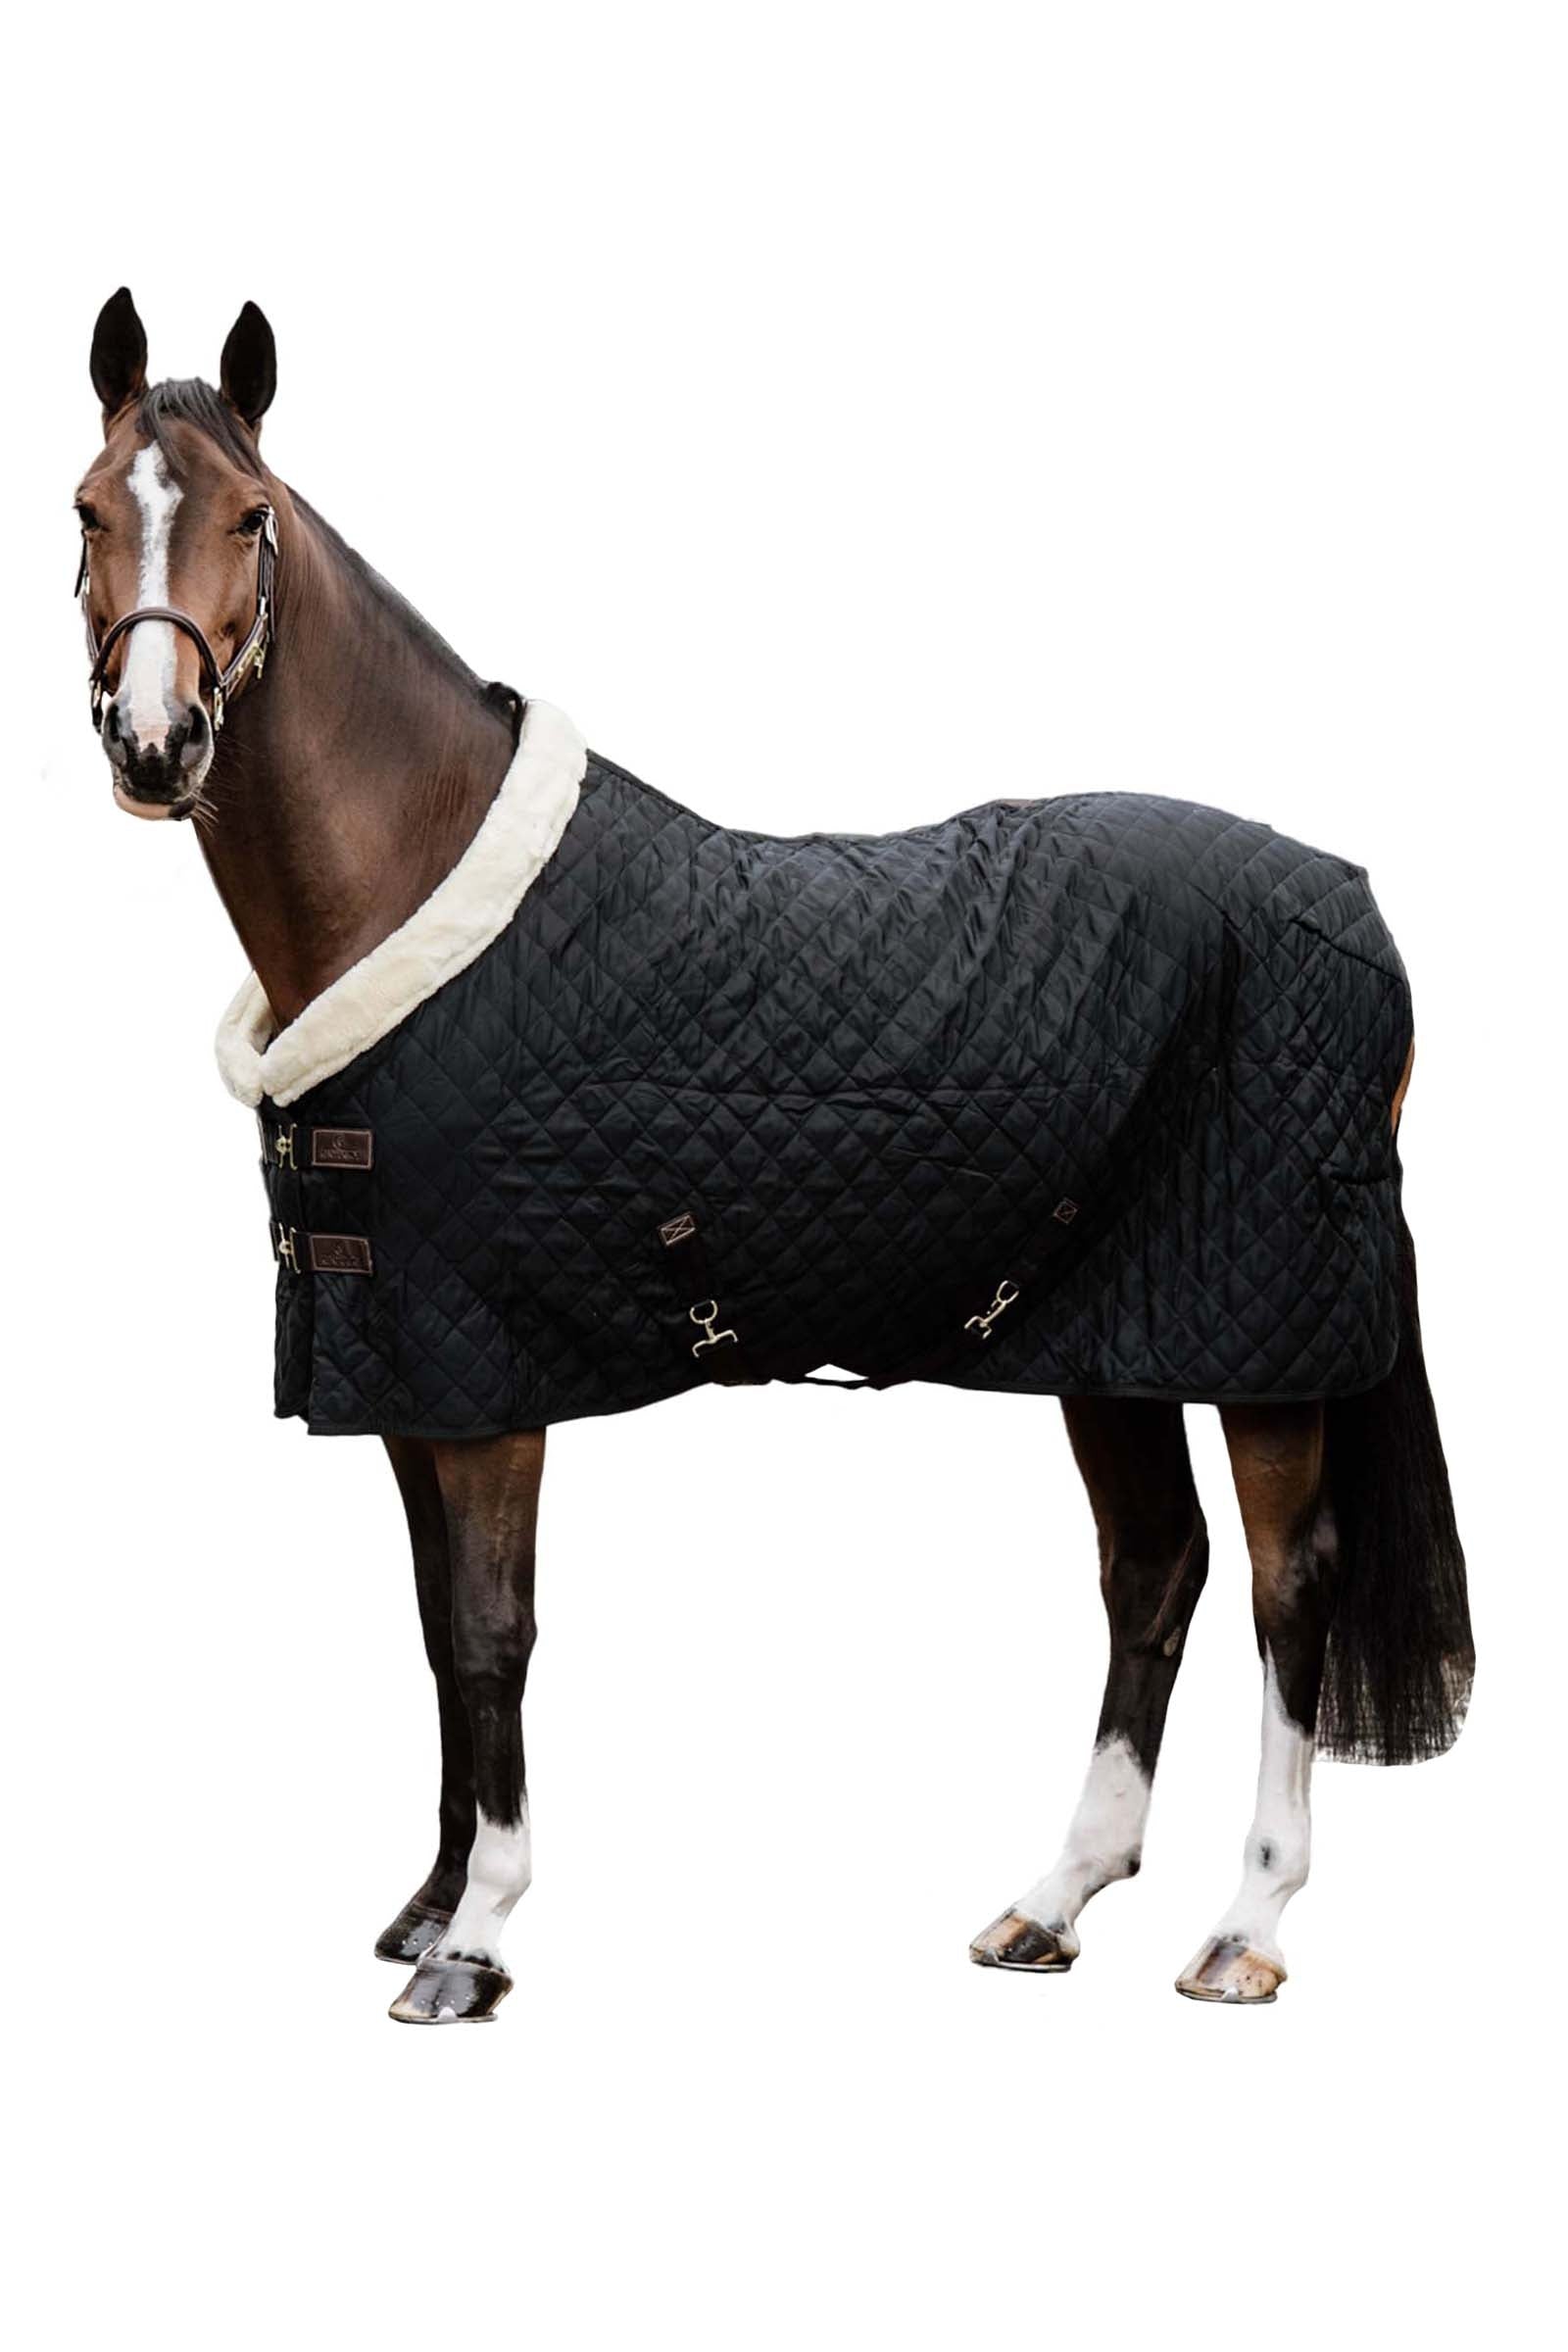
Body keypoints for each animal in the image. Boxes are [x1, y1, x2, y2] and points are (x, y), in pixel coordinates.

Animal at [74, 288, 1473, 2025]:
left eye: (249, 519)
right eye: (86, 509)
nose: (156, 741)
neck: (424, 888)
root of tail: (1349, 901)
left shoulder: (492, 1391)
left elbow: (493, 1632)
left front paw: (477, 1943)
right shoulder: (408, 1374)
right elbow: (432, 1632)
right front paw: (430, 1900)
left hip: (1260, 1338)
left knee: (1294, 1588)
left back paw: (1247, 1927)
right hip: (1116, 1336)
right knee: (1154, 1569)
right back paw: (1052, 1903)